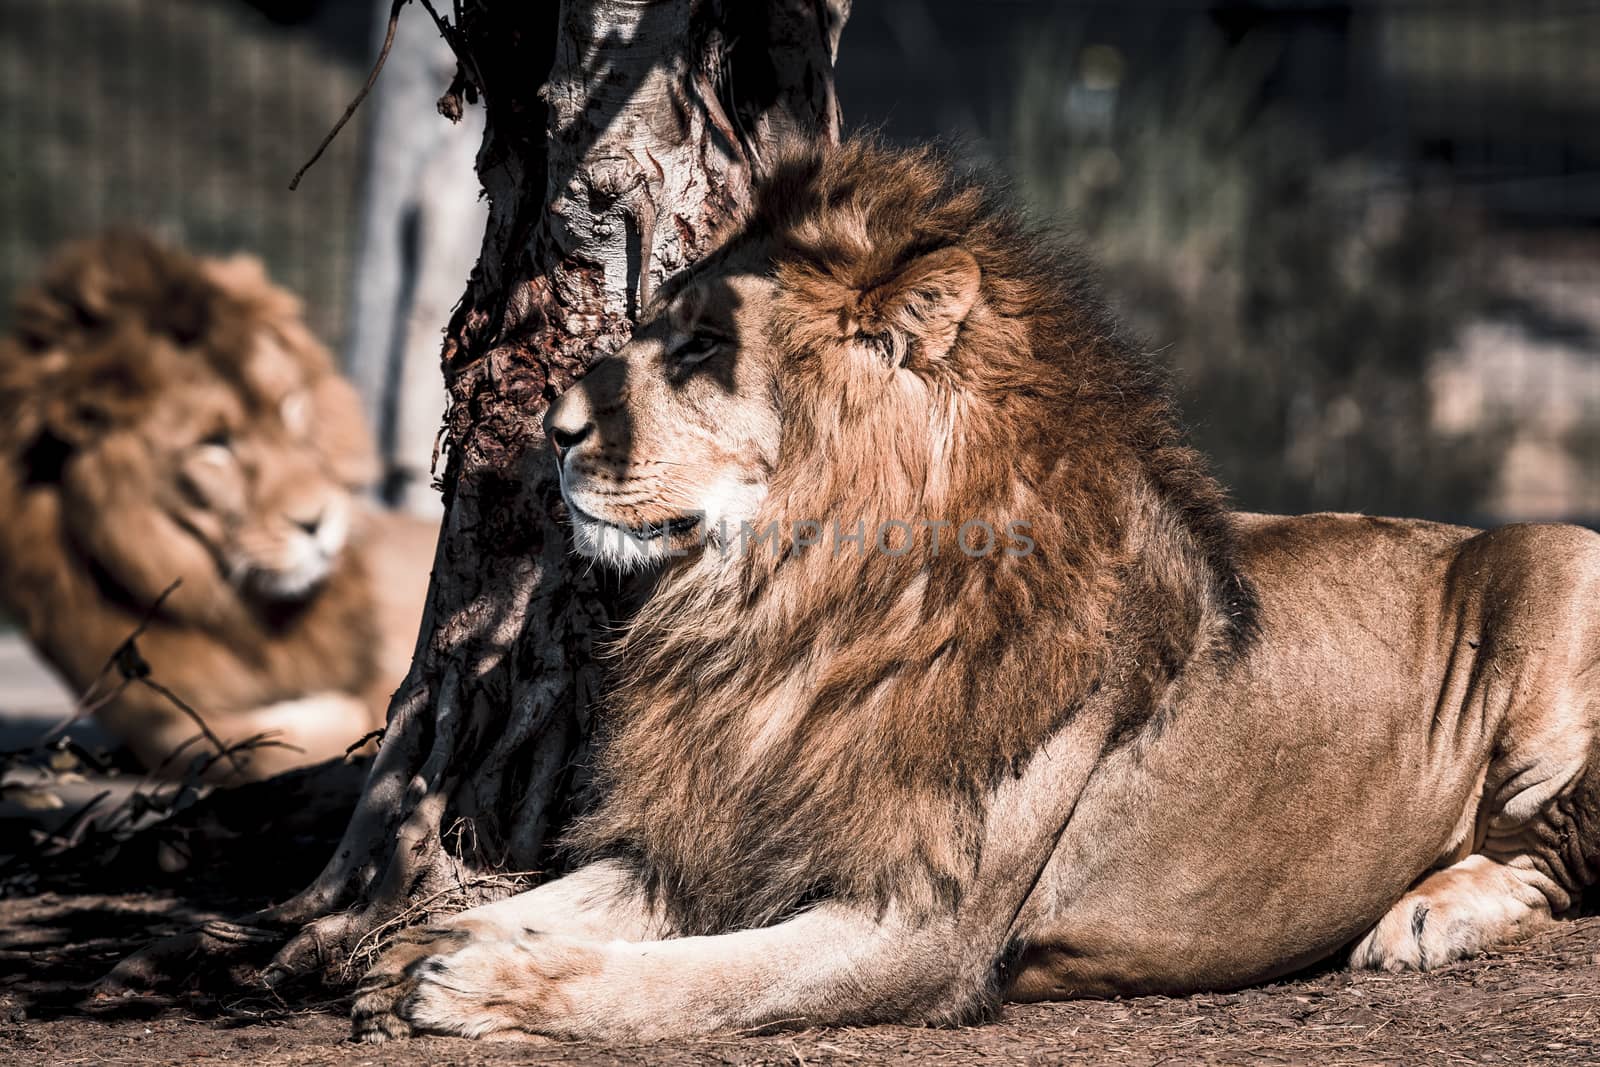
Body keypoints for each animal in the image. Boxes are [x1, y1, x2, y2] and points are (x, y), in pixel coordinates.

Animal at [356, 135, 1600, 1043]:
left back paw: (1428, 914)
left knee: (1555, 861)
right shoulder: (731, 828)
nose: (553, 429)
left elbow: (686, 982)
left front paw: (490, 984)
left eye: (704, 348)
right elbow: (554, 896)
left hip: (1560, 562)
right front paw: (411, 947)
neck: (796, 608)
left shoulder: (920, 930)